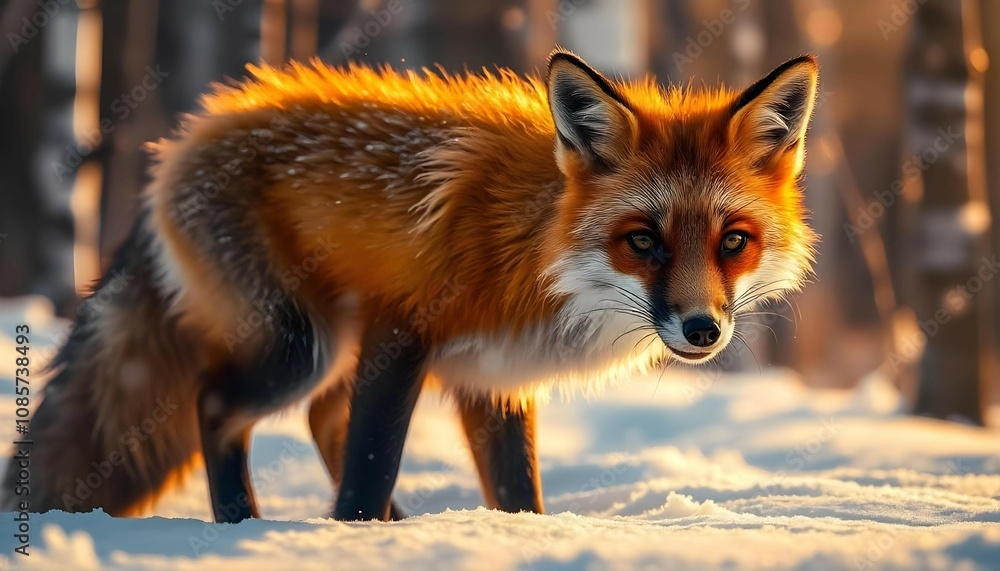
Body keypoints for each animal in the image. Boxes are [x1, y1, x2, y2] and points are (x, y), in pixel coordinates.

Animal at [2, 49, 818, 523]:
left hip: (332, 349)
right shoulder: (403, 330)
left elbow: (516, 496)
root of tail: (185, 136)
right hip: (301, 346)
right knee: (217, 404)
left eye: (733, 241)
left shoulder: (495, 374)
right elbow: (370, 463)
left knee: (319, 417)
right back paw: (245, 523)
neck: (539, 250)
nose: (701, 329)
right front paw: (357, 535)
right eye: (642, 240)